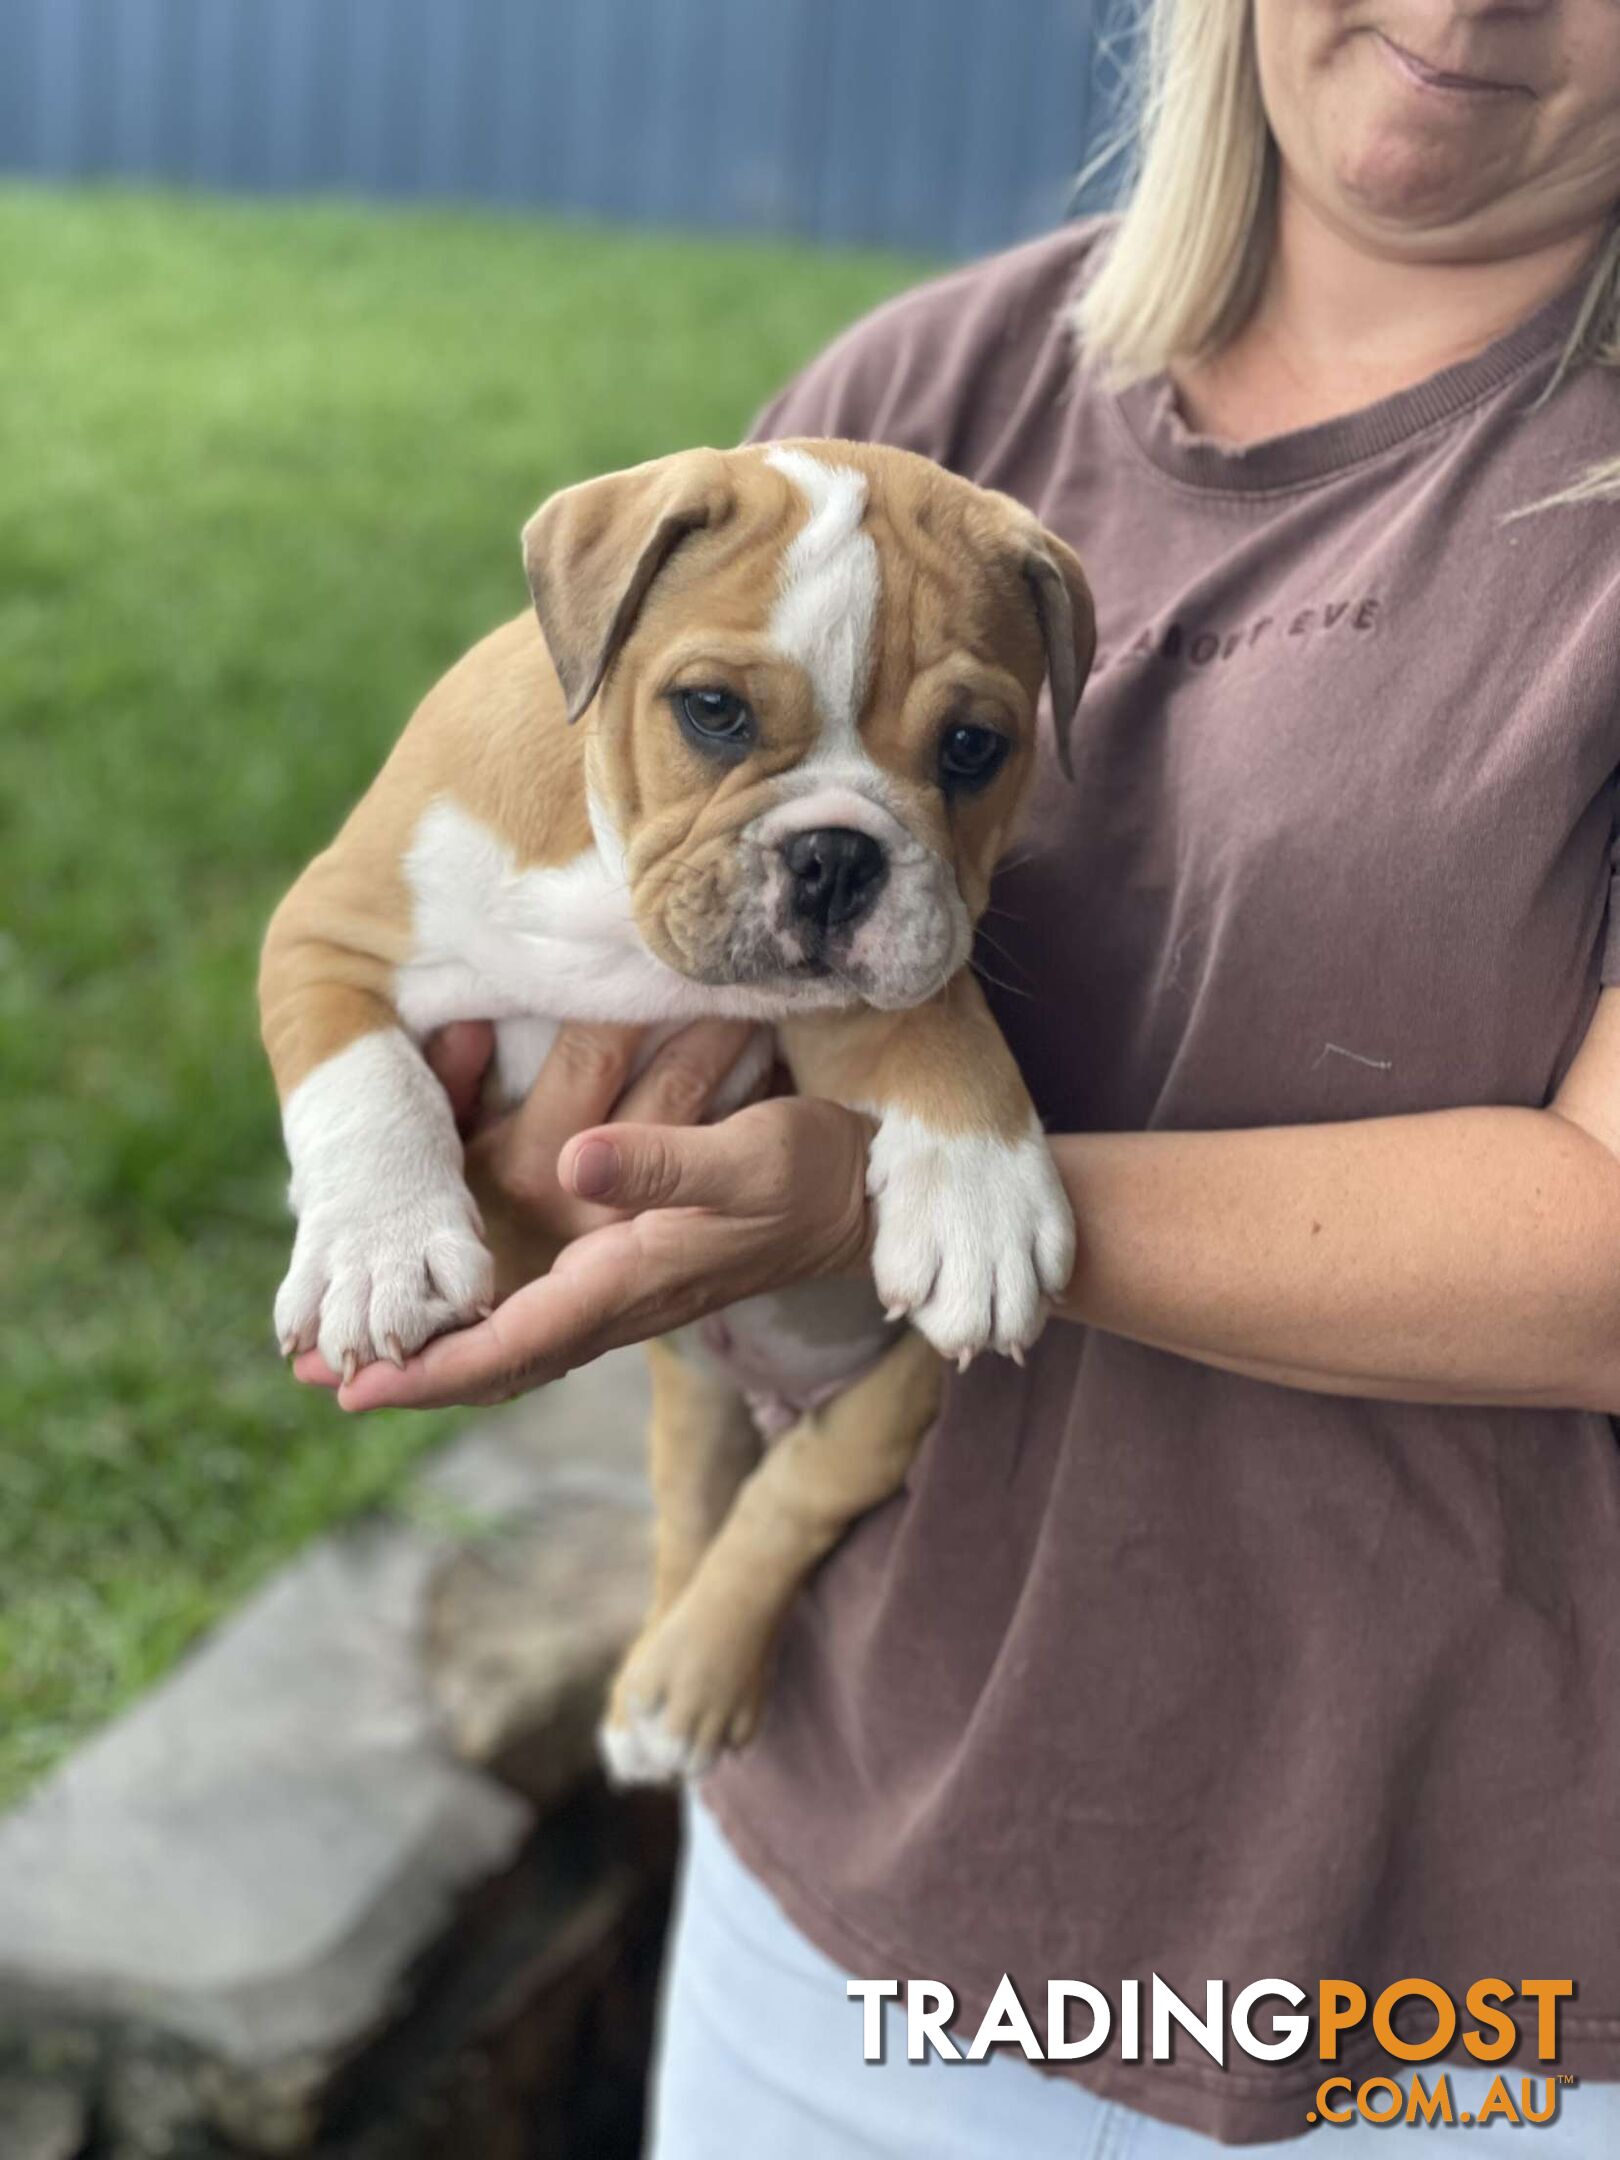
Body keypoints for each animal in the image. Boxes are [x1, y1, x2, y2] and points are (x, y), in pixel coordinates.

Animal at [266, 434, 1097, 1771]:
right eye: (713, 711)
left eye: (974, 746)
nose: (835, 859)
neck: (613, 894)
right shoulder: (324, 932)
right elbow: (364, 1079)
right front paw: (376, 1252)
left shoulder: (872, 989)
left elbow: (941, 1022)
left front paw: (982, 1201)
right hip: (698, 1398)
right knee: (695, 1503)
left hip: (893, 1397)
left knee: (791, 1498)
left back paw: (681, 1684)